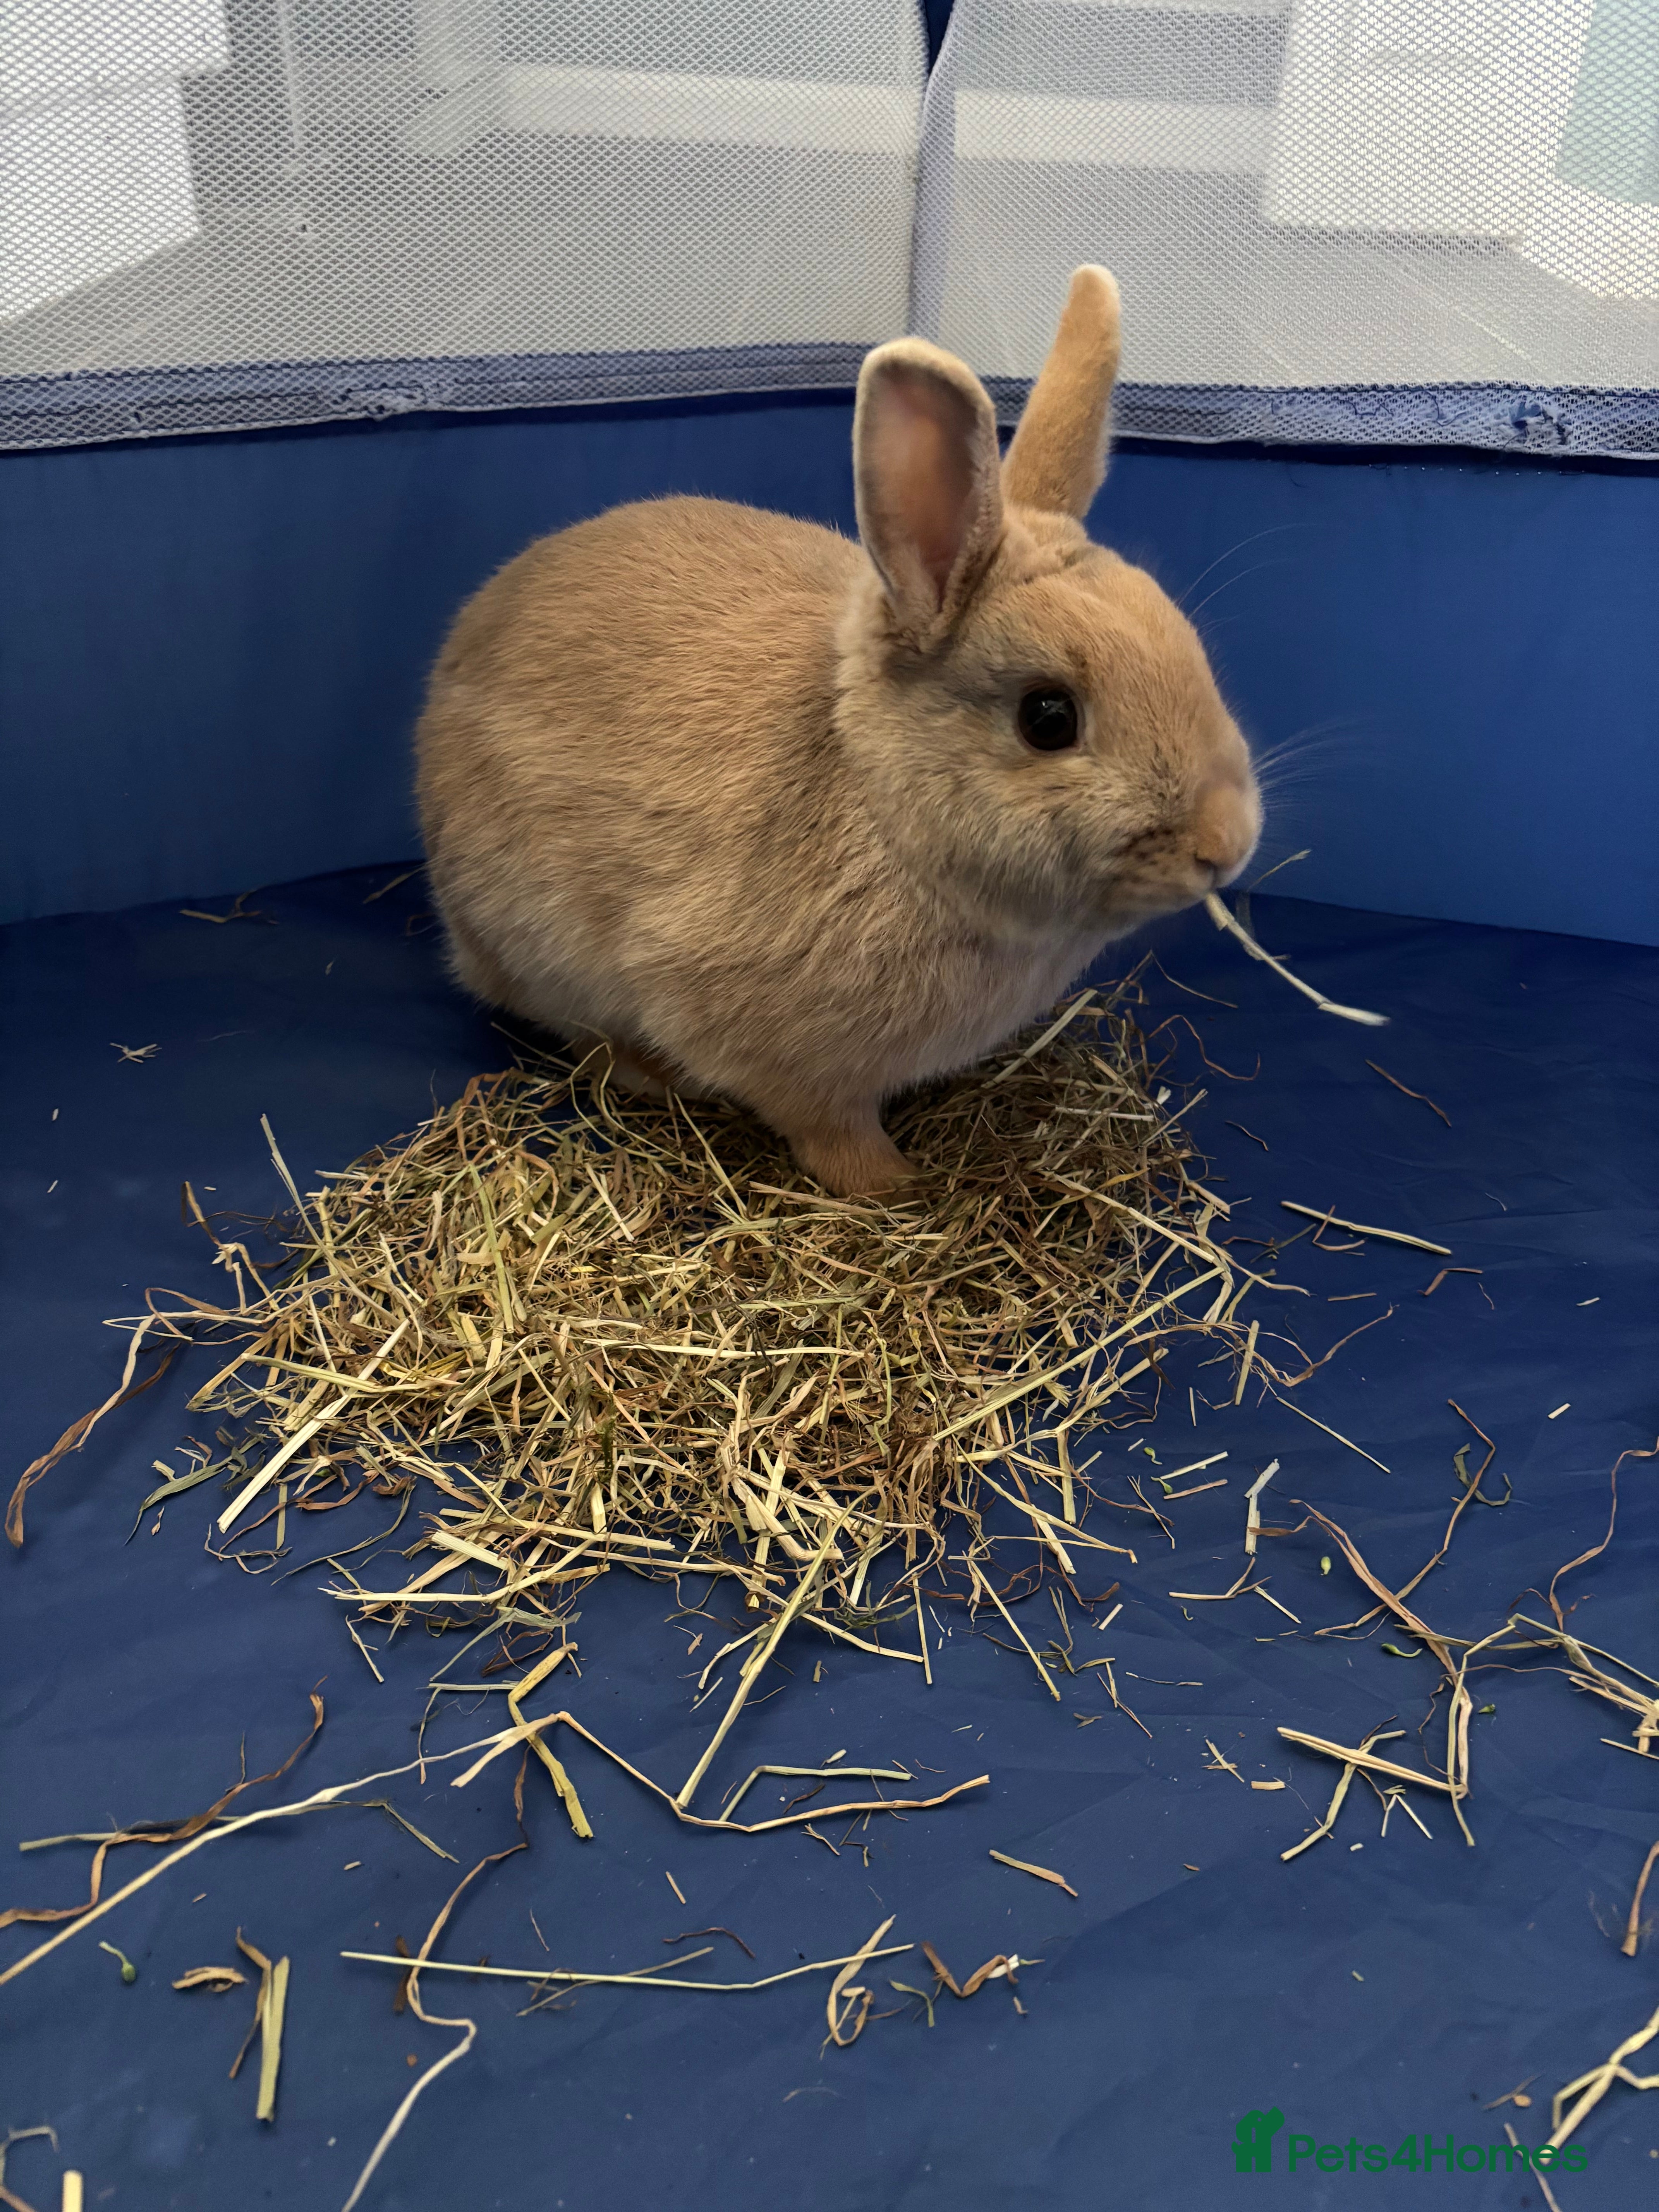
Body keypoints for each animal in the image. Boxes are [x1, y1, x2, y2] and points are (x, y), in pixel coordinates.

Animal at [416, 266, 1260, 1196]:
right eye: (1048, 718)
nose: (1227, 845)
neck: (887, 817)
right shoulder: (781, 1055)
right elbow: (829, 1129)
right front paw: (895, 1185)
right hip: (533, 945)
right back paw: (649, 1075)